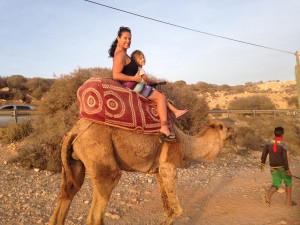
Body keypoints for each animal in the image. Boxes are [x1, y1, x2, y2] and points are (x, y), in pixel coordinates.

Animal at [48, 118, 234, 224]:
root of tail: (73, 131)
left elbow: (167, 204)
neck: (186, 144)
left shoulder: (158, 171)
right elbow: (178, 209)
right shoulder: (169, 166)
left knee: (66, 195)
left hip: (74, 163)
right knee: (95, 215)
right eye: (227, 128)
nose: (235, 131)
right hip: (101, 159)